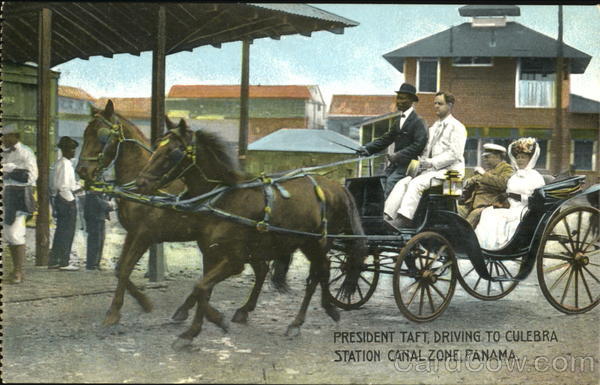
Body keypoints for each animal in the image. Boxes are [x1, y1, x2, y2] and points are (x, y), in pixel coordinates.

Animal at [75, 100, 290, 328]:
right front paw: (144, 302)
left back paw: (234, 310)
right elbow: (119, 269)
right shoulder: (132, 233)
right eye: (85, 132)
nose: (82, 170)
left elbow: (125, 269)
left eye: (102, 135)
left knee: (259, 269)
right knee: (258, 269)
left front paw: (114, 312)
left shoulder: (145, 235)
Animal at [135, 119, 366, 348]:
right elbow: (203, 290)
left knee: (318, 272)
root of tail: (337, 187)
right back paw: (327, 309)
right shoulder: (210, 255)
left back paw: (298, 322)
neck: (224, 200)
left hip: (316, 243)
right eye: (157, 146)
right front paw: (191, 332)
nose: (141, 183)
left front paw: (215, 320)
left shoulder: (234, 261)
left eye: (173, 152)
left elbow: (200, 287)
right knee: (320, 270)